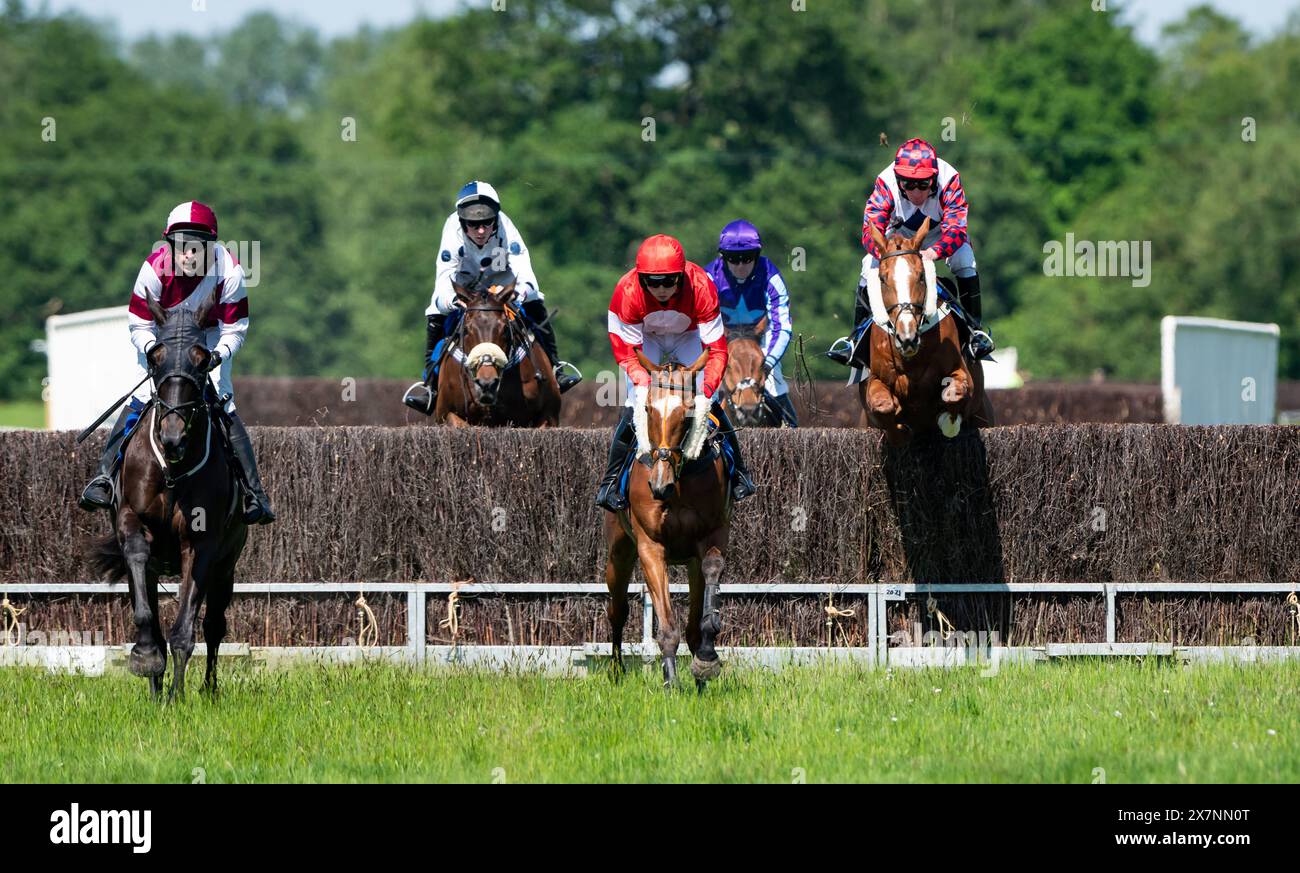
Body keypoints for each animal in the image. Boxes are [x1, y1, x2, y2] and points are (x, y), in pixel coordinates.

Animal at [90, 289, 246, 701]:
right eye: (156, 356)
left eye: (202, 358)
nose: (172, 436)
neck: (173, 469)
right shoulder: (132, 523)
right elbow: (147, 612)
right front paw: (148, 662)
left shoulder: (202, 544)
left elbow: (186, 629)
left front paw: (177, 696)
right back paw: (156, 687)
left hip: (228, 562)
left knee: (214, 624)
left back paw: (207, 689)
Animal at [600, 348, 733, 691]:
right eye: (648, 409)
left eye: (688, 413)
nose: (659, 485)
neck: (679, 483)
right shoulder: (651, 547)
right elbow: (668, 626)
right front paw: (671, 681)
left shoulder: (712, 536)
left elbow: (709, 581)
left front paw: (706, 660)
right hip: (618, 551)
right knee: (617, 610)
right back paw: (616, 670)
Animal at [863, 211, 993, 444]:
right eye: (883, 279)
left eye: (921, 276)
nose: (907, 337)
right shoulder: (875, 380)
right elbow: (882, 406)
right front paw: (901, 430)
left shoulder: (960, 373)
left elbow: (954, 394)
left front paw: (946, 422)